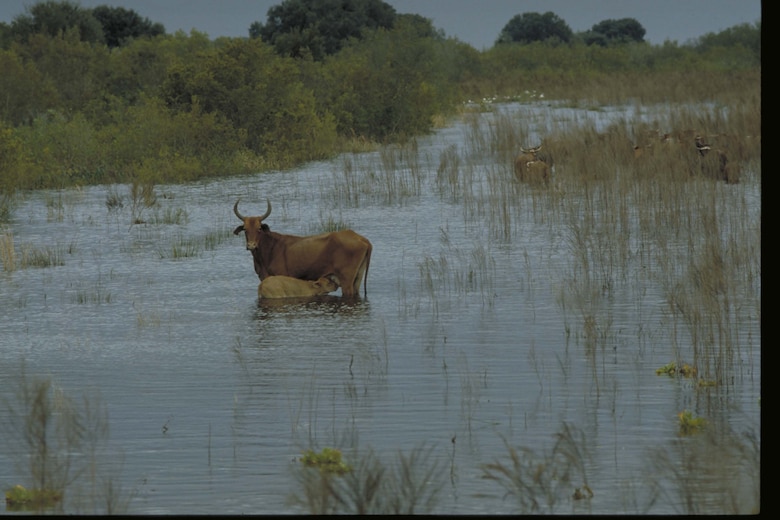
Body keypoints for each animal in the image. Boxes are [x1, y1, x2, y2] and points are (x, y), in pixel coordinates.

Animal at [232, 198, 372, 296]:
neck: (270, 251)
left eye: (259, 228)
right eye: (245, 229)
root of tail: (359, 237)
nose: (251, 245)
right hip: (357, 278)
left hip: (347, 281)